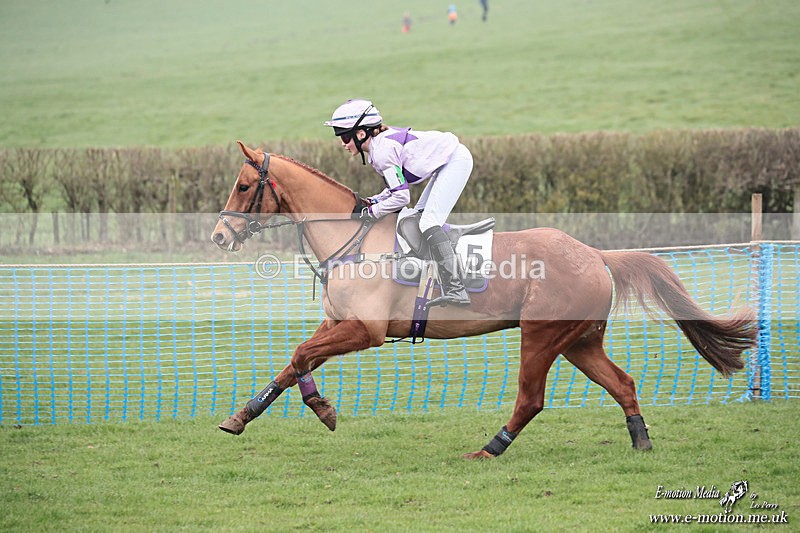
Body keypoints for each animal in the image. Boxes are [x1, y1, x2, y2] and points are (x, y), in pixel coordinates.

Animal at [211, 141, 757, 459]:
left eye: (243, 185)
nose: (219, 235)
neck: (353, 239)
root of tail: (594, 254)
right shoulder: (339, 324)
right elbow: (294, 361)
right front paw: (243, 415)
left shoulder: (366, 331)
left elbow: (302, 354)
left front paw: (321, 409)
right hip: (580, 341)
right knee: (622, 383)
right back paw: (640, 441)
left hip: (542, 336)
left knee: (531, 398)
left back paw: (491, 448)